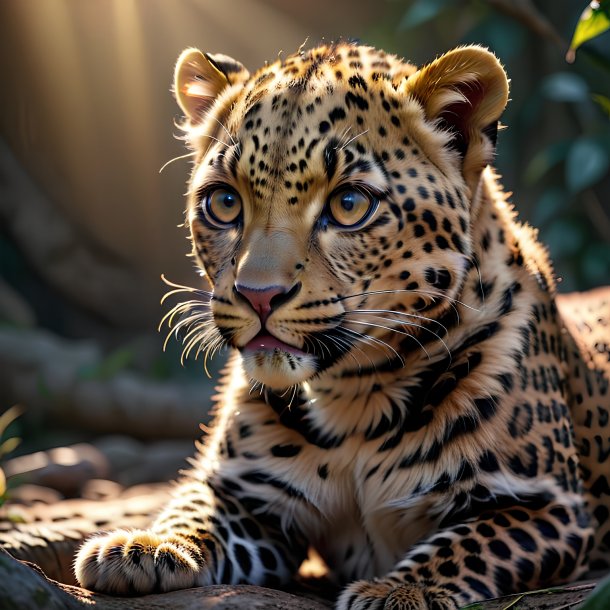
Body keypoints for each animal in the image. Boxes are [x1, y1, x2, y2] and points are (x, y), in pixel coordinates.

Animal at [75, 40, 608, 604]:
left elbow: (465, 544)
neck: (354, 394)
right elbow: (192, 509)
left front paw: (397, 592)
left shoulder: (547, 505)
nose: (258, 295)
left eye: (349, 204)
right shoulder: (241, 491)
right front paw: (142, 546)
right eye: (224, 202)